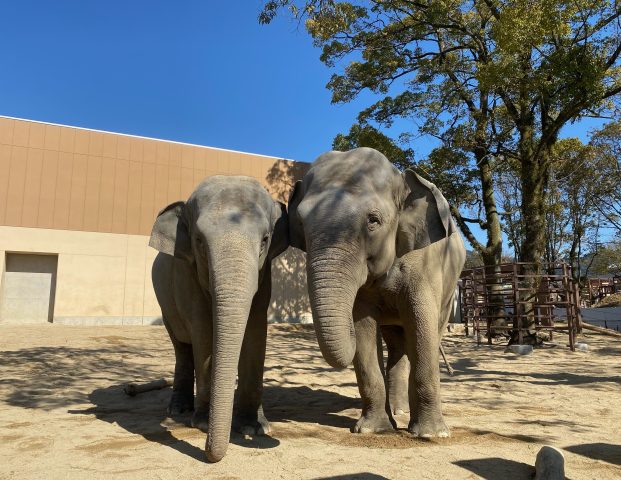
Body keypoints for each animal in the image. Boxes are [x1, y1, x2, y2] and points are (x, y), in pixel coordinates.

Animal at [150, 175, 288, 462]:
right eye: (199, 240)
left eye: (265, 240)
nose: (208, 453)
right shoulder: (187, 272)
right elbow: (203, 330)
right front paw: (202, 423)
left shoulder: (264, 274)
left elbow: (255, 330)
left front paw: (254, 428)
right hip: (164, 302)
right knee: (181, 346)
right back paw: (178, 411)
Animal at [288, 148, 462, 436]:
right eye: (300, 222)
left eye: (373, 220)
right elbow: (364, 328)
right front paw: (372, 430)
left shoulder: (425, 266)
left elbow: (421, 326)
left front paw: (430, 434)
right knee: (397, 344)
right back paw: (398, 411)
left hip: (450, 290)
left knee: (428, 333)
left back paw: (406, 415)